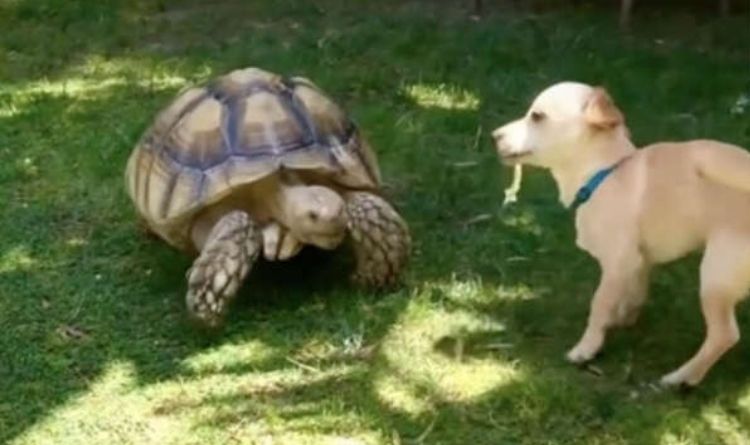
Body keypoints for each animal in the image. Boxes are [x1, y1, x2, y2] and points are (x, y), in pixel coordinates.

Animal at [494, 82, 750, 386]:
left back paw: (683, 377)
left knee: (724, 335)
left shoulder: (617, 262)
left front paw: (587, 348)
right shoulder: (638, 261)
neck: (605, 172)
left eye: (537, 117)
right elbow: (634, 292)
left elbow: (599, 304)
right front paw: (623, 318)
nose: (494, 135)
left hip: (716, 275)